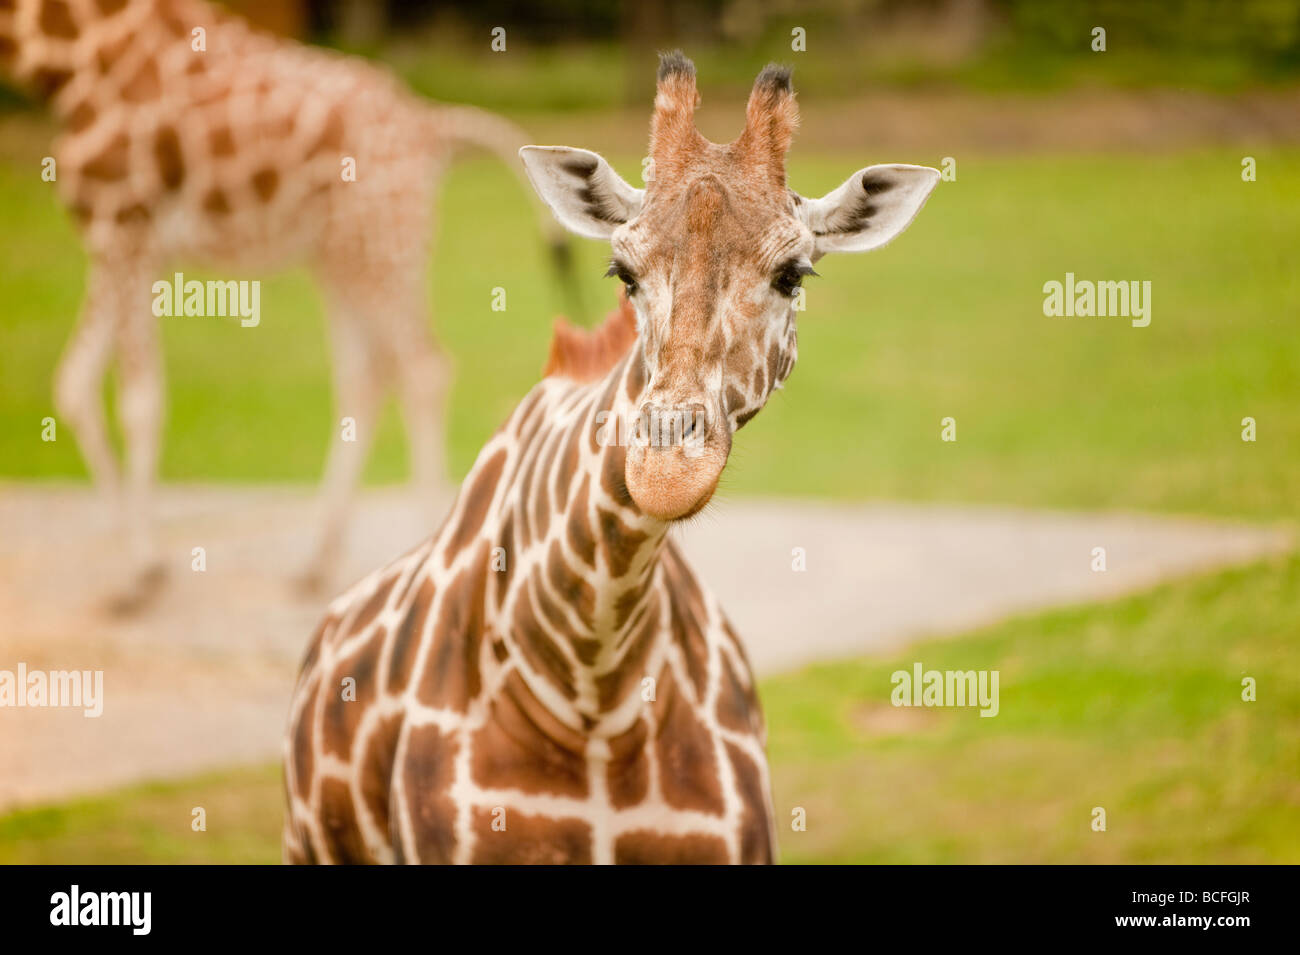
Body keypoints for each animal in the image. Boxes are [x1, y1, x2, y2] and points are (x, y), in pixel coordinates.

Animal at [0, 0, 569, 604]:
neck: (69, 56)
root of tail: (431, 128)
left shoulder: (122, 224)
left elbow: (137, 402)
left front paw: (140, 568)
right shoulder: (122, 242)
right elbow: (76, 384)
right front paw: (140, 561)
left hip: (381, 246)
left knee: (423, 369)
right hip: (341, 257)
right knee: (368, 376)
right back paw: (317, 563)